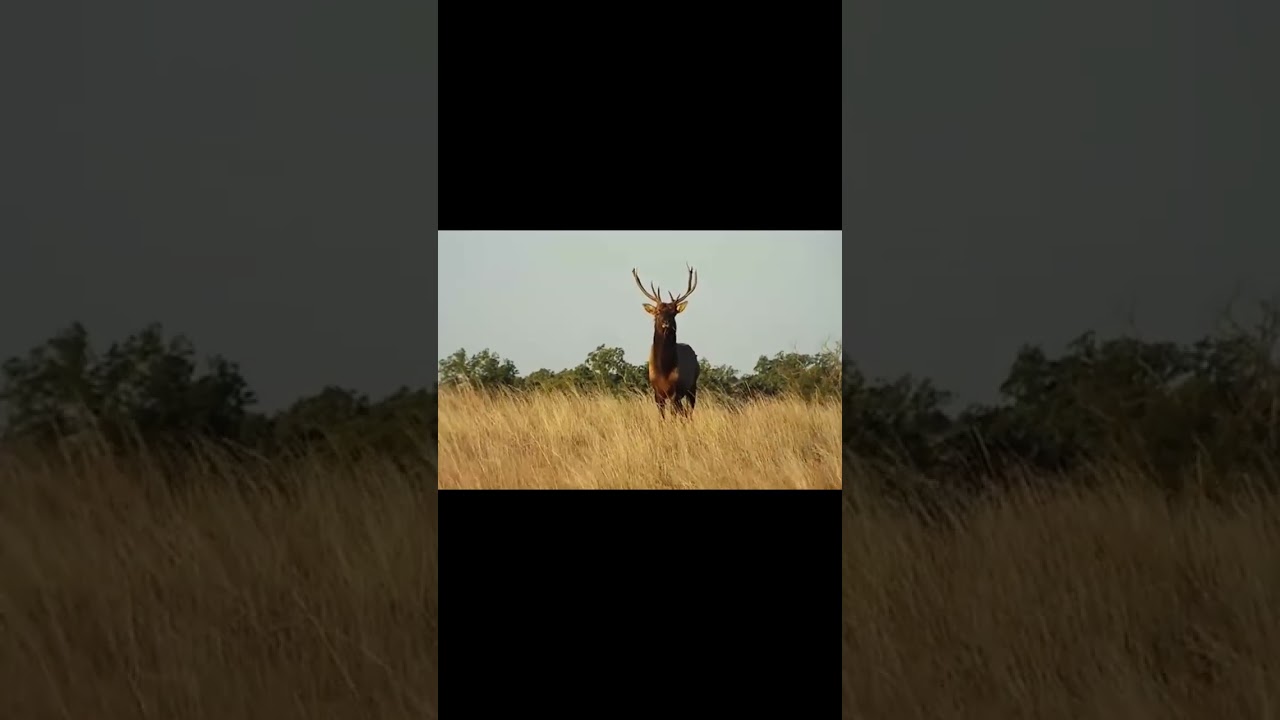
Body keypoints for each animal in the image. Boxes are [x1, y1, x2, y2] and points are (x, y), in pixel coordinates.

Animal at [632, 264, 701, 419]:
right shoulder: (657, 392)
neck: (663, 370)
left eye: (673, 313)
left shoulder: (675, 391)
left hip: (692, 386)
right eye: (657, 311)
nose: (666, 323)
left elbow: (674, 414)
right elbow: (662, 416)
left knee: (688, 411)